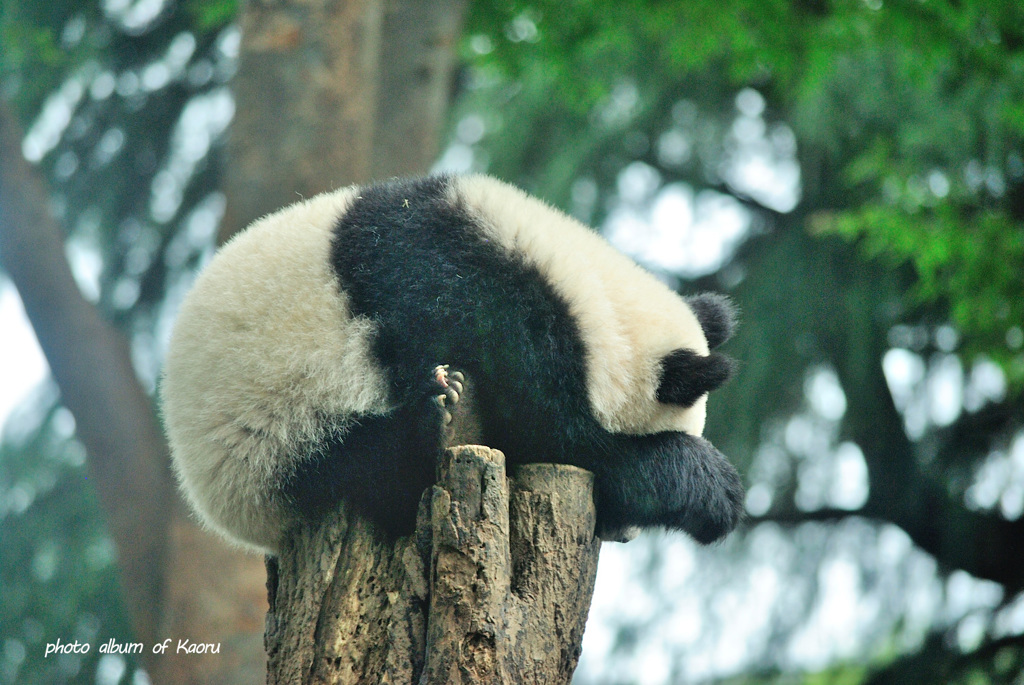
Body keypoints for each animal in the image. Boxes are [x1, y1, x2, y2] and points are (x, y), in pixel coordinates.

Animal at [159, 174, 741, 552]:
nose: (625, 536)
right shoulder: (487, 306)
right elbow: (564, 439)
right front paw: (708, 489)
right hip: (278, 441)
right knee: (372, 467)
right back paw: (440, 422)